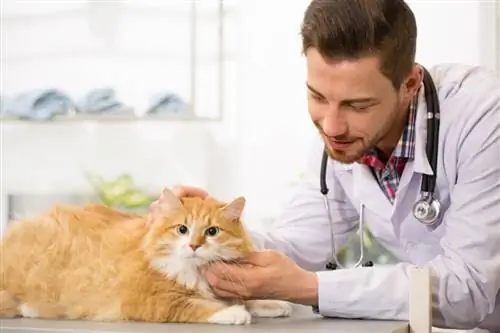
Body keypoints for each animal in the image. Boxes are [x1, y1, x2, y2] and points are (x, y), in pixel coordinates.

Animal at [0, 188, 292, 322]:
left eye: (212, 231)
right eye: (183, 229)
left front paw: (271, 304)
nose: (194, 246)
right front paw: (232, 314)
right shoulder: (153, 301)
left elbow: (247, 300)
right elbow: (198, 306)